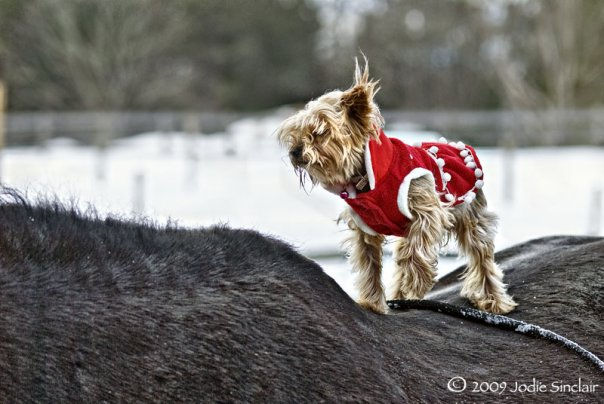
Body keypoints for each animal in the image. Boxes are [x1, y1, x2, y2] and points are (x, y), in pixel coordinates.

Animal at [276, 60, 516, 314]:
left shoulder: (427, 211)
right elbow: (369, 263)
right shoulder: (365, 228)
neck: (367, 180)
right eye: (297, 132)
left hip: (471, 214)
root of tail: (459, 147)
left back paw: (494, 300)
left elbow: (417, 248)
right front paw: (371, 303)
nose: (295, 151)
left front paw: (417, 281)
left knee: (481, 256)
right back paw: (401, 295)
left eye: (320, 132)